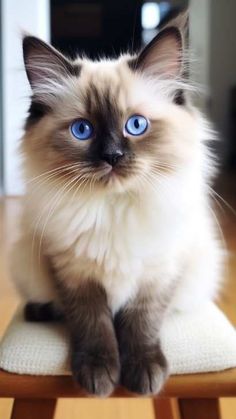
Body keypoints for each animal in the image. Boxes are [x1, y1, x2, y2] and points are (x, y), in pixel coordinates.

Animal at [10, 14, 223, 398]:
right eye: (83, 130)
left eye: (135, 125)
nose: (112, 156)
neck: (113, 208)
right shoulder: (74, 273)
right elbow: (93, 324)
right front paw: (99, 376)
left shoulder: (159, 272)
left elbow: (142, 324)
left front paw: (143, 375)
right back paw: (40, 310)